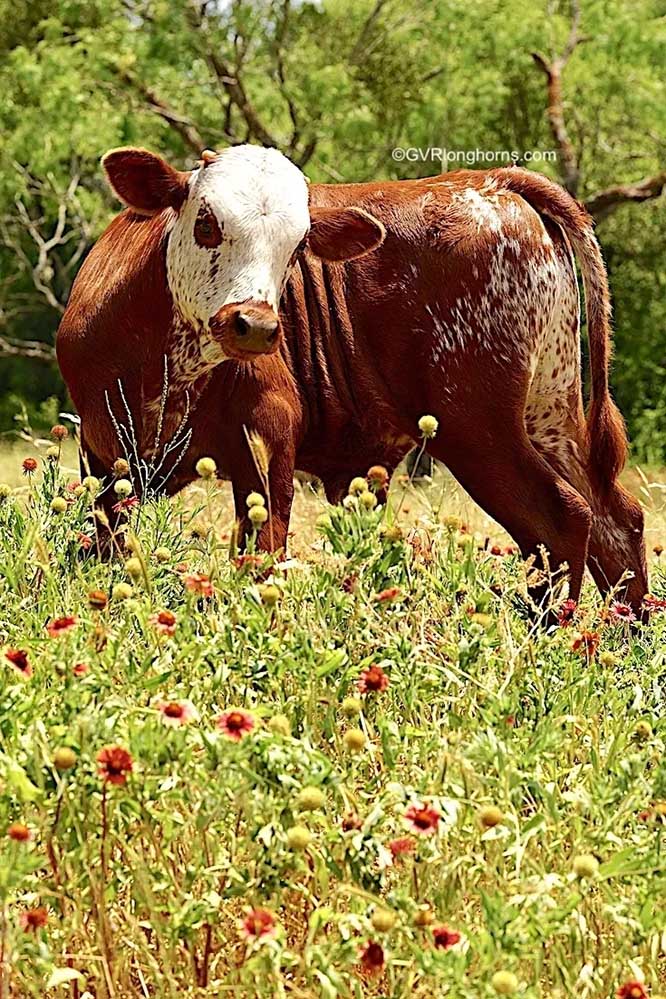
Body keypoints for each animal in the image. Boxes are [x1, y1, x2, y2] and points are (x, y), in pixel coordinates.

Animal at [54, 145, 644, 612]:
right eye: (206, 223)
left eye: (297, 247)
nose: (256, 324)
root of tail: (490, 181)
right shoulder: (101, 456)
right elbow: (102, 546)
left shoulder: (270, 436)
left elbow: (264, 550)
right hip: (549, 415)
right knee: (617, 522)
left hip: (478, 429)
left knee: (563, 520)